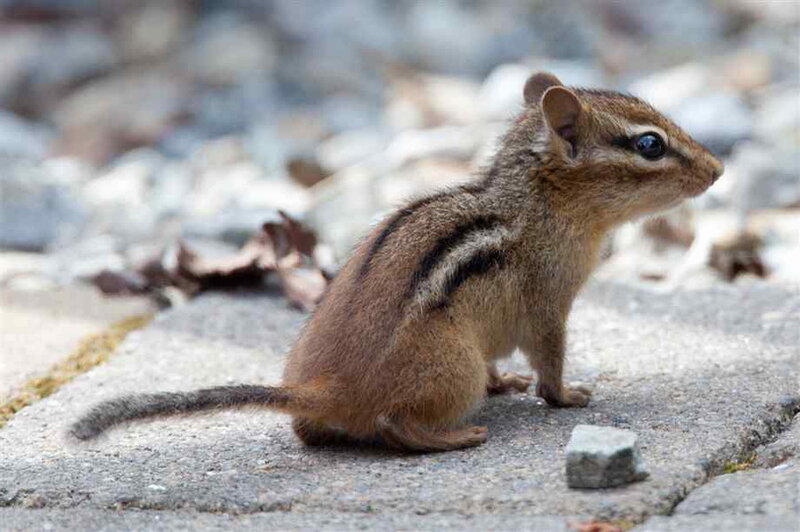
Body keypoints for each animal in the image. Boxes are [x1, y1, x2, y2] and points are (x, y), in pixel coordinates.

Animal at [70, 72, 723, 452]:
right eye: (649, 144)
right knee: (393, 425)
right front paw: (566, 397)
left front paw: (507, 382)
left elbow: (506, 360)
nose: (718, 170)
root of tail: (323, 389)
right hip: (453, 367)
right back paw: (456, 437)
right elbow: (550, 359)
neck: (533, 203)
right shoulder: (550, 301)